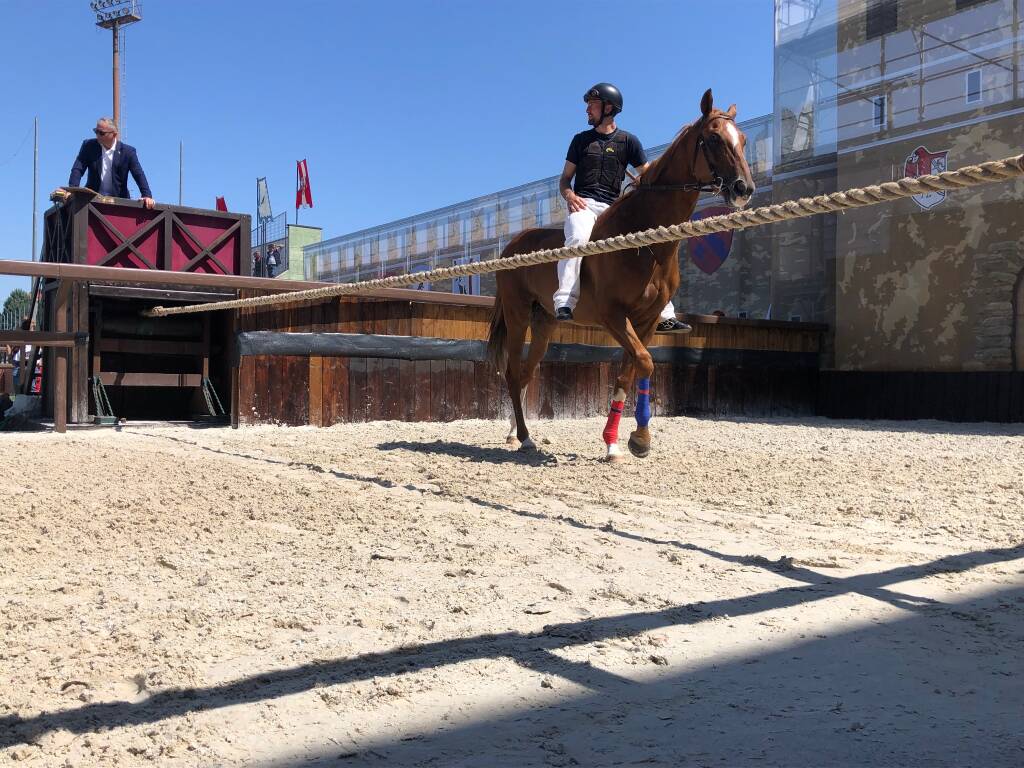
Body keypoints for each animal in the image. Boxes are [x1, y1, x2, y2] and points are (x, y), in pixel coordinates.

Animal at [483, 90, 757, 462]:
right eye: (714, 138)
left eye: (742, 140)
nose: (744, 188)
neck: (644, 240)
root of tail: (512, 245)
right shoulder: (613, 316)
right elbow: (645, 362)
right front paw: (638, 438)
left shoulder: (646, 321)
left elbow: (631, 372)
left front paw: (619, 442)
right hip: (518, 314)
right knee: (513, 373)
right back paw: (525, 438)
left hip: (544, 323)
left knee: (525, 373)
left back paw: (516, 432)